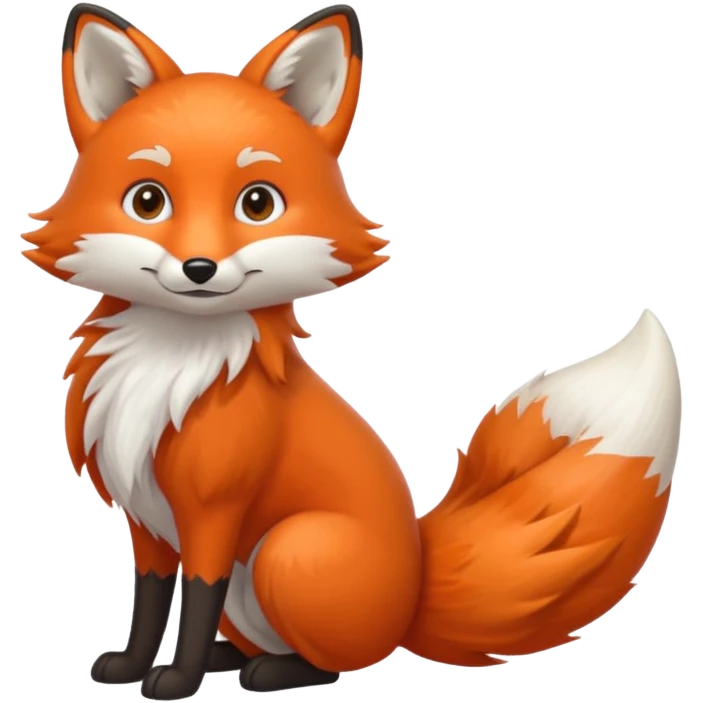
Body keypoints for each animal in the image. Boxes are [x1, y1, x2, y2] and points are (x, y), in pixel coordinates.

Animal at [22, 2, 684, 700]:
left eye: (257, 203)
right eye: (148, 200)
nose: (199, 268)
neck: (172, 363)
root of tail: (416, 589)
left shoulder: (212, 510)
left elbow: (195, 599)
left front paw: (176, 679)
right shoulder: (146, 519)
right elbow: (149, 602)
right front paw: (130, 666)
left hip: (287, 551)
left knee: (338, 661)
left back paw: (268, 671)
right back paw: (232, 658)